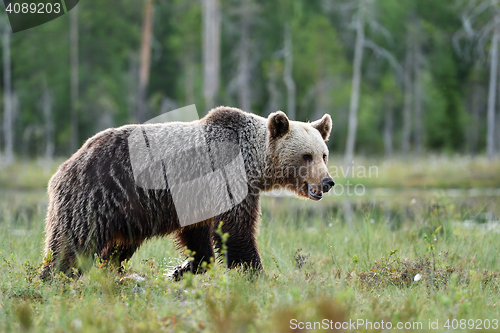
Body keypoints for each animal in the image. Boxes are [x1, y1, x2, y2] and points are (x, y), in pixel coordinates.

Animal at [40, 106, 336, 278]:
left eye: (324, 154)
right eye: (306, 155)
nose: (327, 181)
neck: (251, 161)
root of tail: (66, 164)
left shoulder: (199, 199)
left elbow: (198, 236)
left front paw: (183, 268)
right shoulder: (226, 179)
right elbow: (237, 230)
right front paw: (253, 272)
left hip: (128, 213)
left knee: (116, 247)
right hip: (96, 196)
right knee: (71, 244)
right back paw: (54, 279)